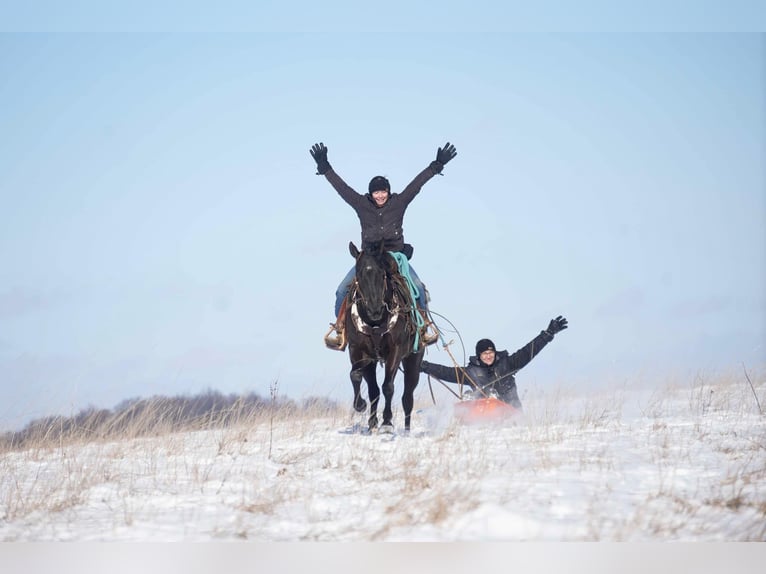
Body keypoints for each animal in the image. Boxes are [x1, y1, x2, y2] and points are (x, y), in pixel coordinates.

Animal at [346, 241, 428, 434]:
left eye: (382, 274)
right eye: (358, 274)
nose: (374, 309)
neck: (375, 323)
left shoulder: (395, 351)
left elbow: (388, 387)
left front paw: (387, 422)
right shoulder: (358, 351)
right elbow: (355, 375)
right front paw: (360, 405)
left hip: (413, 360)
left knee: (407, 397)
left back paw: (406, 429)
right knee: (374, 390)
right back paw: (372, 422)